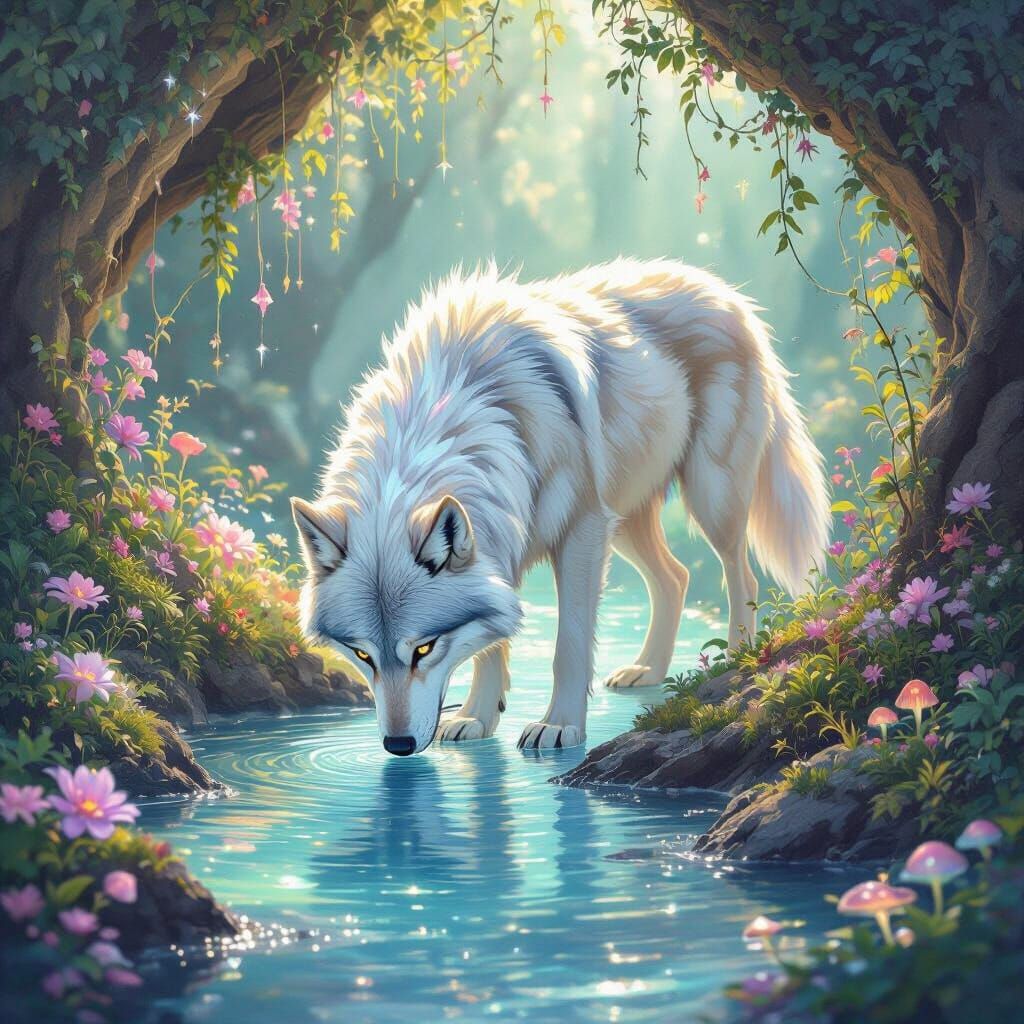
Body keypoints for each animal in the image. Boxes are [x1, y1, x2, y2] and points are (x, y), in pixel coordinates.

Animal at [291, 258, 829, 756]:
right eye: (362, 655)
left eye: (424, 648)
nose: (398, 746)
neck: (460, 404)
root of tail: (723, 289)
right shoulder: (502, 543)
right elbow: (491, 642)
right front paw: (476, 717)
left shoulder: (582, 529)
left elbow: (567, 644)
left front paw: (559, 727)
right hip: (626, 520)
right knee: (676, 578)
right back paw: (648, 669)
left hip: (708, 496)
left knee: (742, 576)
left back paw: (737, 658)